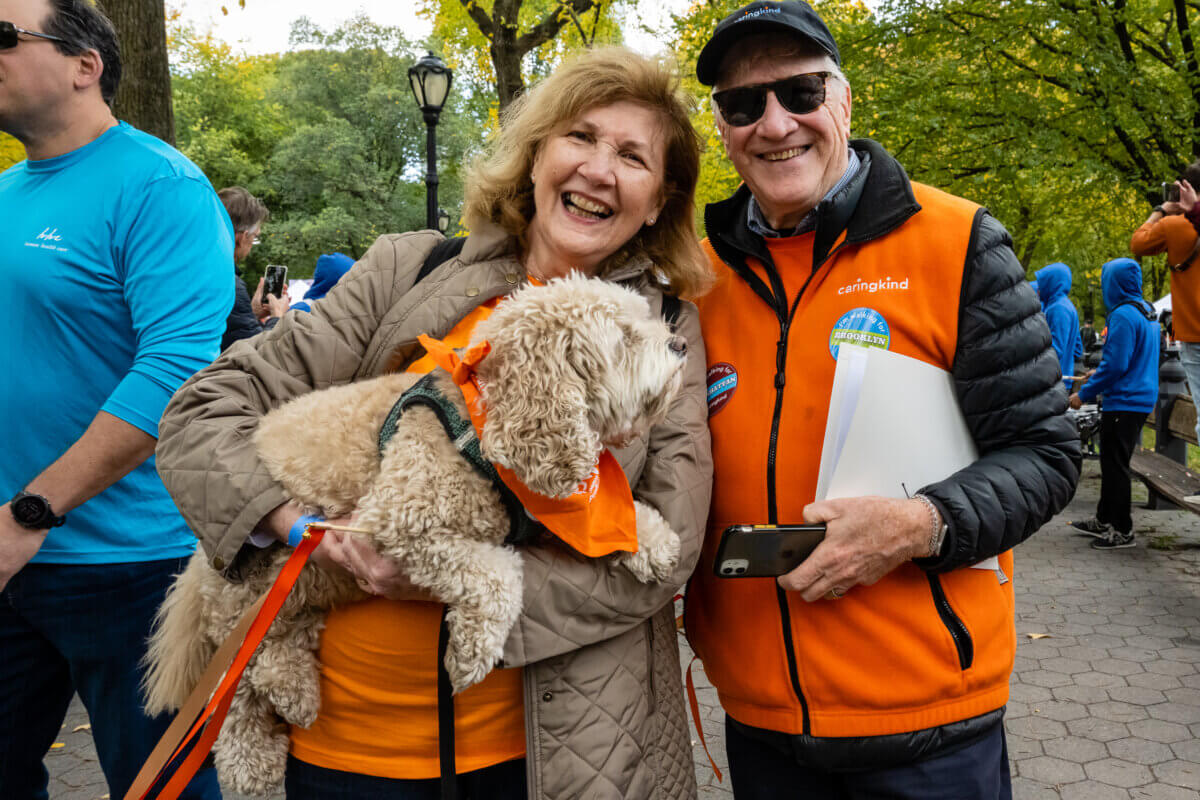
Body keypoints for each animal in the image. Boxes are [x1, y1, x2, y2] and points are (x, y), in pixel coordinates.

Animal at [142, 273, 686, 796]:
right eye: (624, 338)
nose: (680, 343)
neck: (483, 422)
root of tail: (198, 565)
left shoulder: (534, 507)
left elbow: (608, 523)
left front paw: (654, 541)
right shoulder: (399, 520)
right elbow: (498, 575)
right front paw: (470, 653)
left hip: (301, 585)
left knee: (273, 653)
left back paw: (292, 694)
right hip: (245, 598)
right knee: (236, 687)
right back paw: (255, 750)